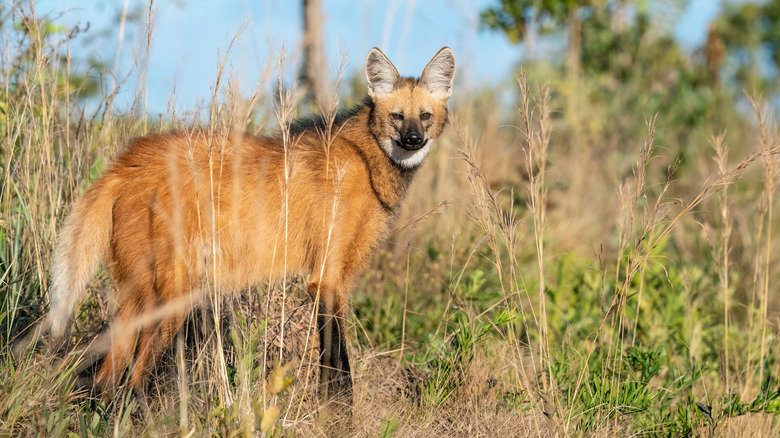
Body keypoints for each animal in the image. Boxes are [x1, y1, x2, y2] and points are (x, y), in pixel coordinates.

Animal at [42, 47, 454, 404]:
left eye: (425, 116)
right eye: (397, 116)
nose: (413, 140)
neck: (367, 164)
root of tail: (124, 162)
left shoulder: (333, 280)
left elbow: (332, 368)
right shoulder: (327, 279)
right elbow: (339, 370)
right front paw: (339, 421)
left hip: (141, 293)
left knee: (105, 379)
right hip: (173, 297)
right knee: (132, 380)